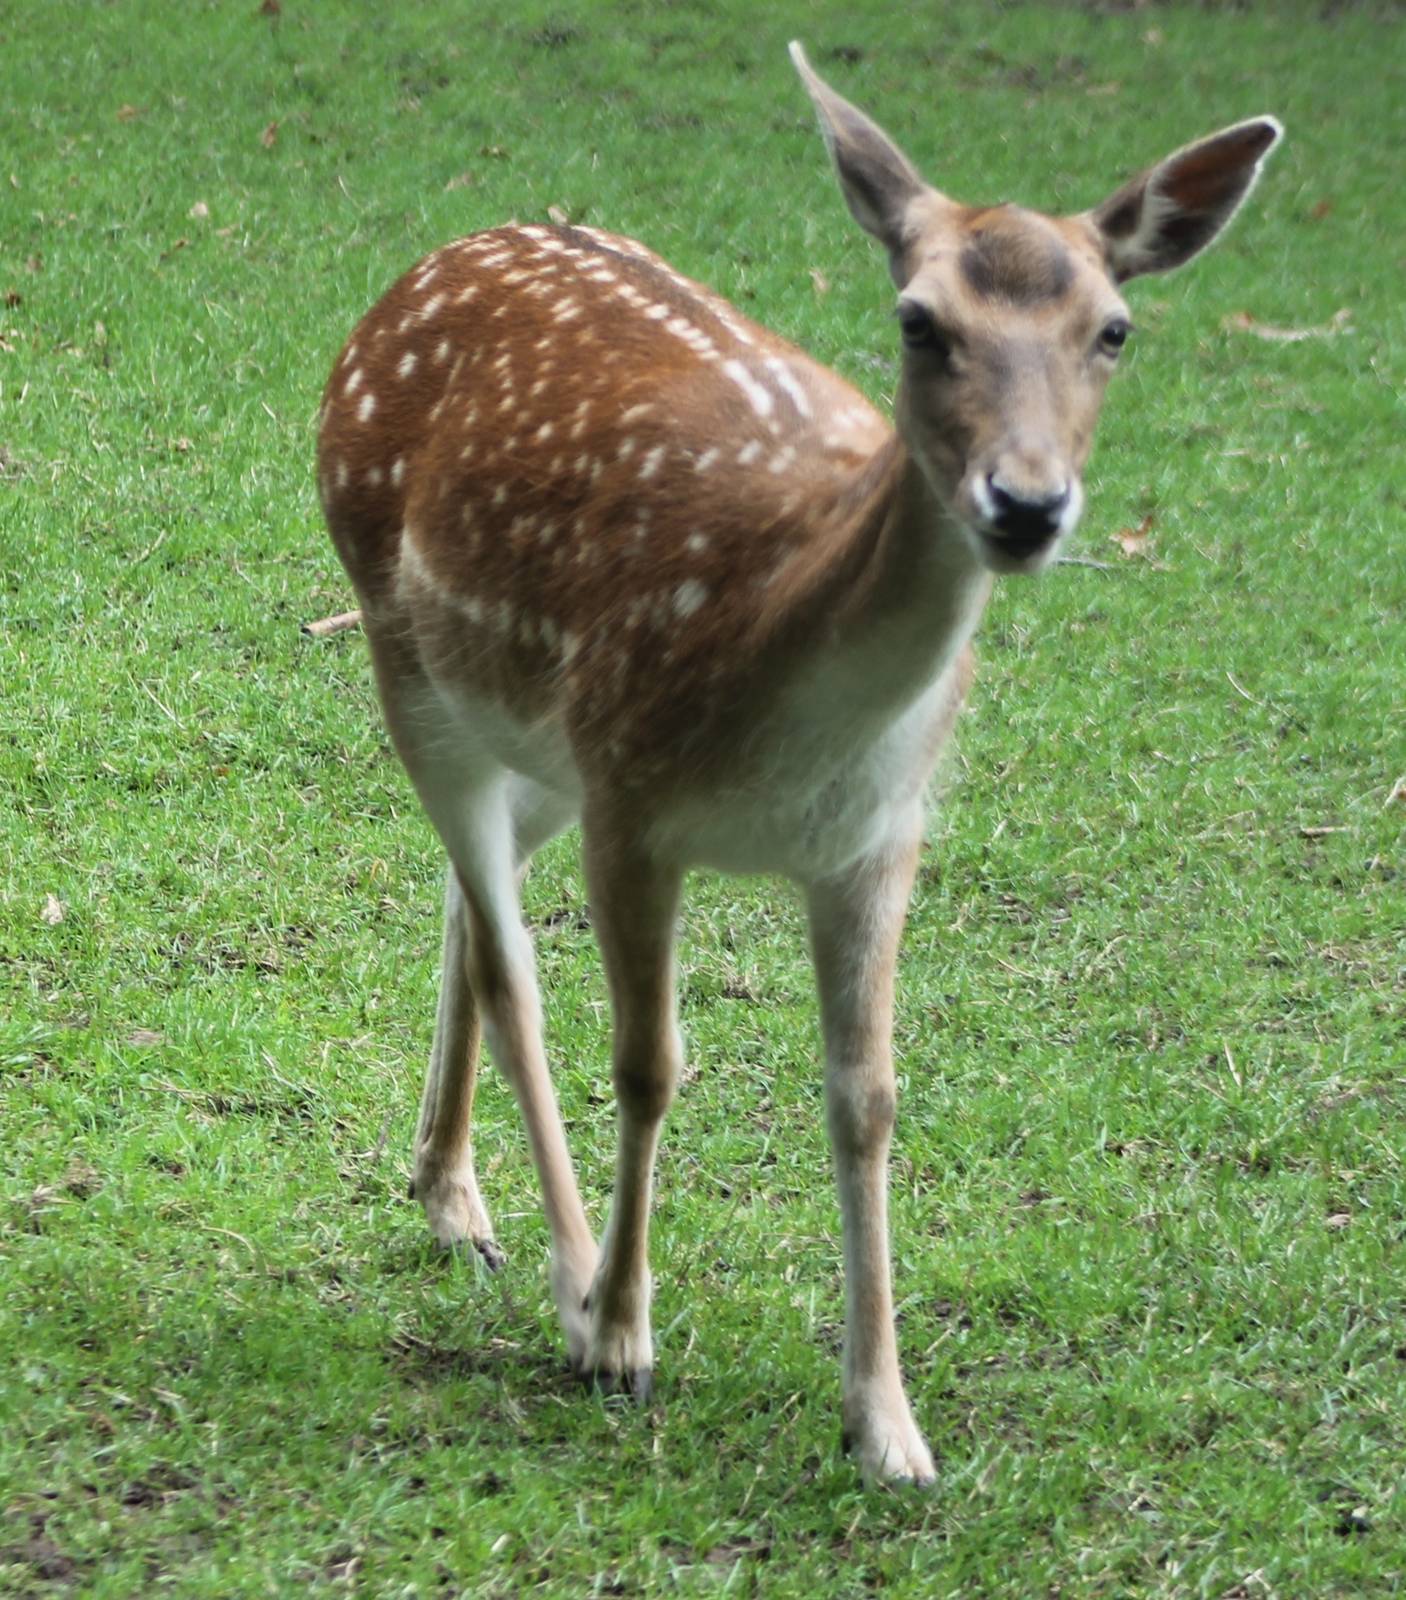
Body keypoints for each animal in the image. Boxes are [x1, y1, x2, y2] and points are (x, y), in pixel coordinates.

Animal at [316, 43, 1281, 1484]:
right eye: (918, 320)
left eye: (1114, 328)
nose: (1025, 503)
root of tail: (414, 277)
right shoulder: (634, 794)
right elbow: (649, 1064)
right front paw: (621, 1332)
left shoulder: (876, 838)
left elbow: (865, 1099)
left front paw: (886, 1425)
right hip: (407, 658)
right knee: (509, 962)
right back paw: (562, 1275)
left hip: (530, 742)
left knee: (467, 909)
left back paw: (451, 1197)